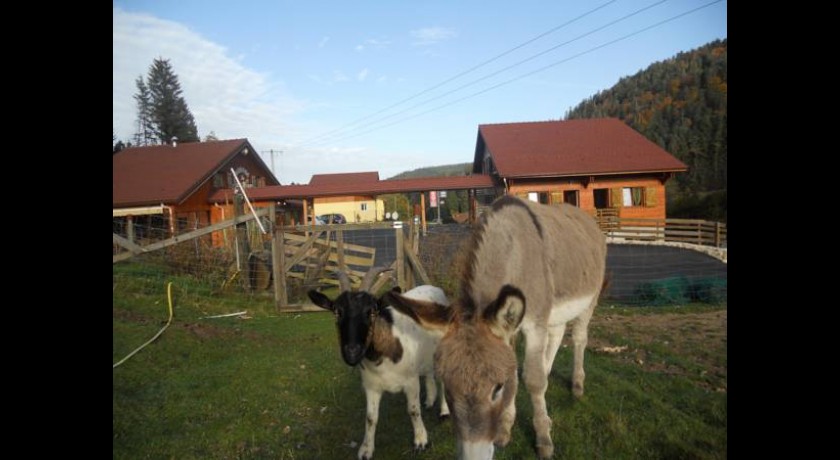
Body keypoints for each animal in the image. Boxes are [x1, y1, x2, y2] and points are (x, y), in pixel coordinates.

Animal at [308, 268, 452, 460]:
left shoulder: (411, 381)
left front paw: (421, 441)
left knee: (442, 381)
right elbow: (370, 417)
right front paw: (366, 449)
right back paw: (429, 400)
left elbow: (413, 410)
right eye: (337, 312)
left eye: (372, 311)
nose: (352, 352)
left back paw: (444, 411)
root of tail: (435, 288)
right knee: (428, 374)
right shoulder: (371, 385)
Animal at [384, 195, 608, 460]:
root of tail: (585, 217)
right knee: (556, 335)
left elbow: (533, 381)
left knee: (579, 339)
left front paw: (543, 439)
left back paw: (576, 385)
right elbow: (516, 373)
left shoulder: (534, 324)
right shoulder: (509, 330)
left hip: (589, 300)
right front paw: (505, 429)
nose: (473, 455)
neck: (513, 251)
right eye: (447, 388)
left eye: (496, 389)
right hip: (555, 312)